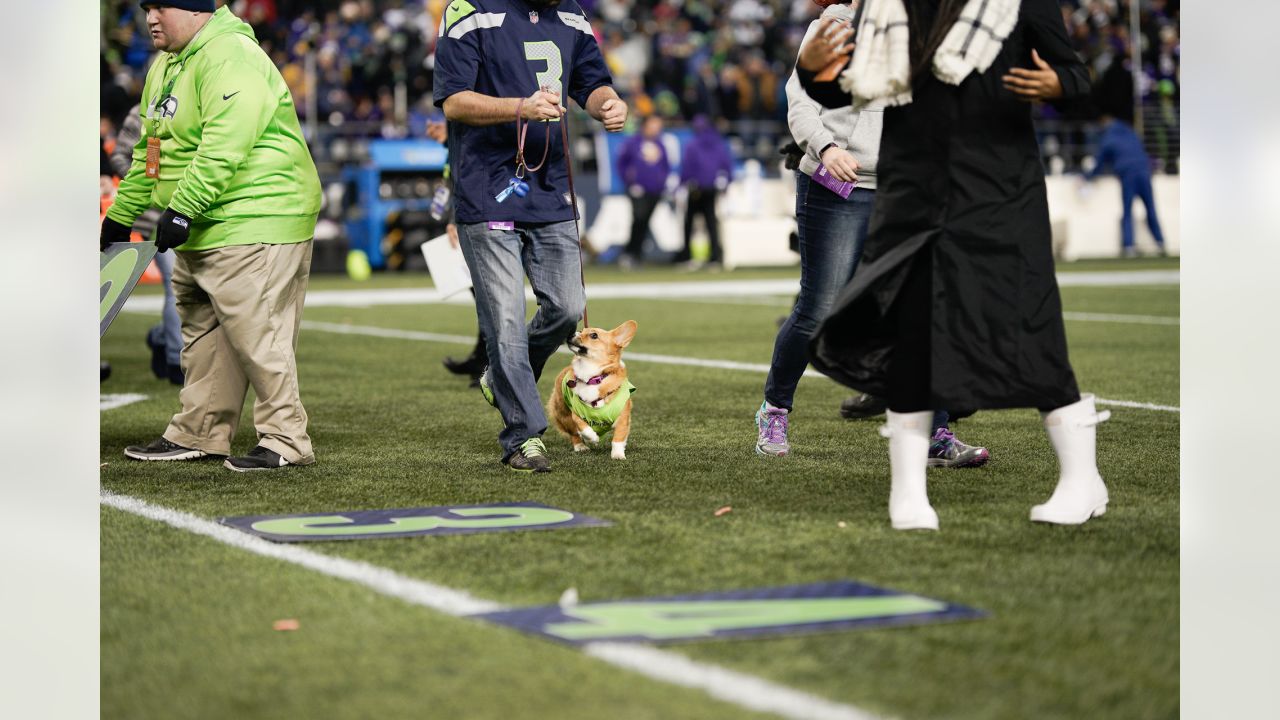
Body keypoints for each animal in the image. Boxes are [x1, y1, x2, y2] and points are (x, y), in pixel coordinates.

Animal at [545, 320, 634, 458]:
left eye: (593, 335)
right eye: (581, 331)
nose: (570, 333)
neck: (592, 377)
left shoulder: (623, 419)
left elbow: (618, 439)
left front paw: (618, 455)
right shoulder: (575, 414)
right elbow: (583, 427)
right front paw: (593, 438)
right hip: (563, 414)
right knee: (574, 434)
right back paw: (580, 446)